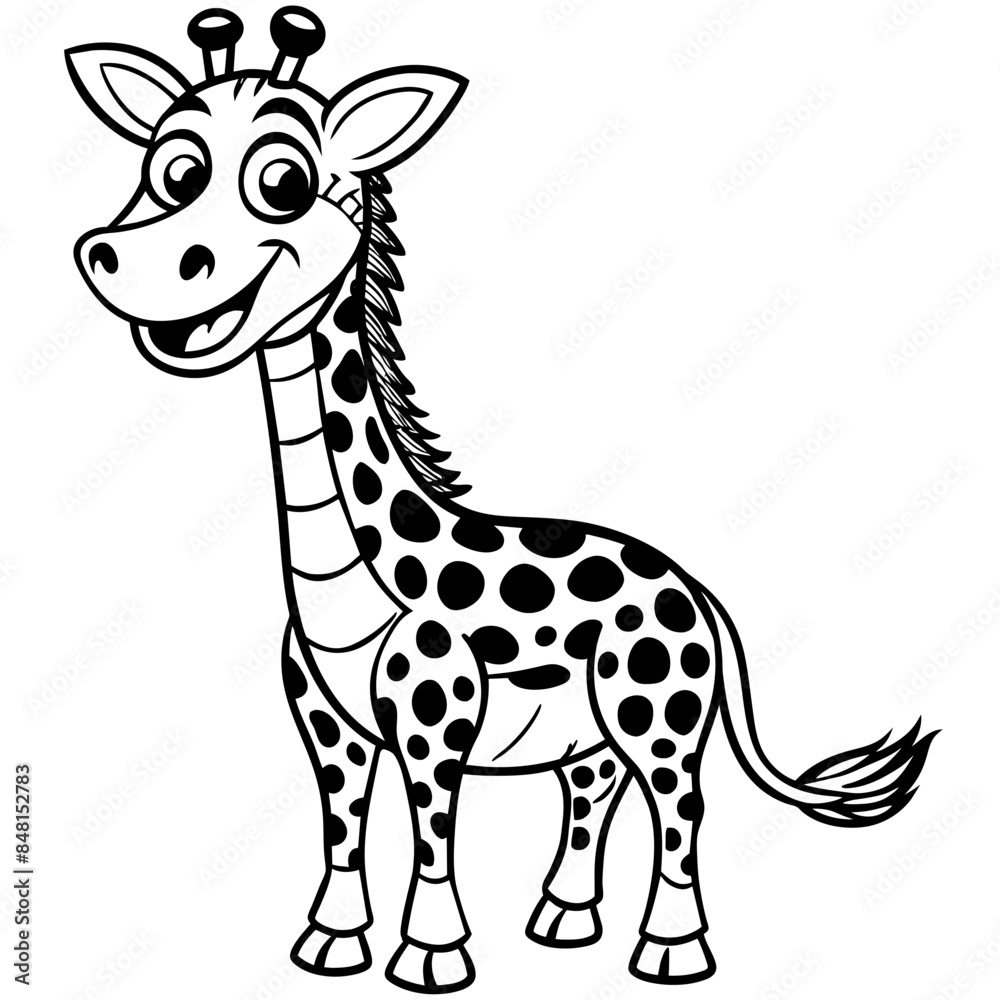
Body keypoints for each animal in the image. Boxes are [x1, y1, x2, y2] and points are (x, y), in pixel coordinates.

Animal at [67, 8, 936, 992]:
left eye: (282, 182)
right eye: (171, 171)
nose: (109, 256)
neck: (348, 582)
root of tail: (693, 589)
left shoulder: (436, 715)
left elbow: (433, 830)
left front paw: (431, 958)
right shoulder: (328, 725)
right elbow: (342, 829)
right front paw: (329, 946)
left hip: (658, 711)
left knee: (680, 804)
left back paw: (670, 952)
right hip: (589, 732)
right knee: (592, 793)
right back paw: (562, 925)